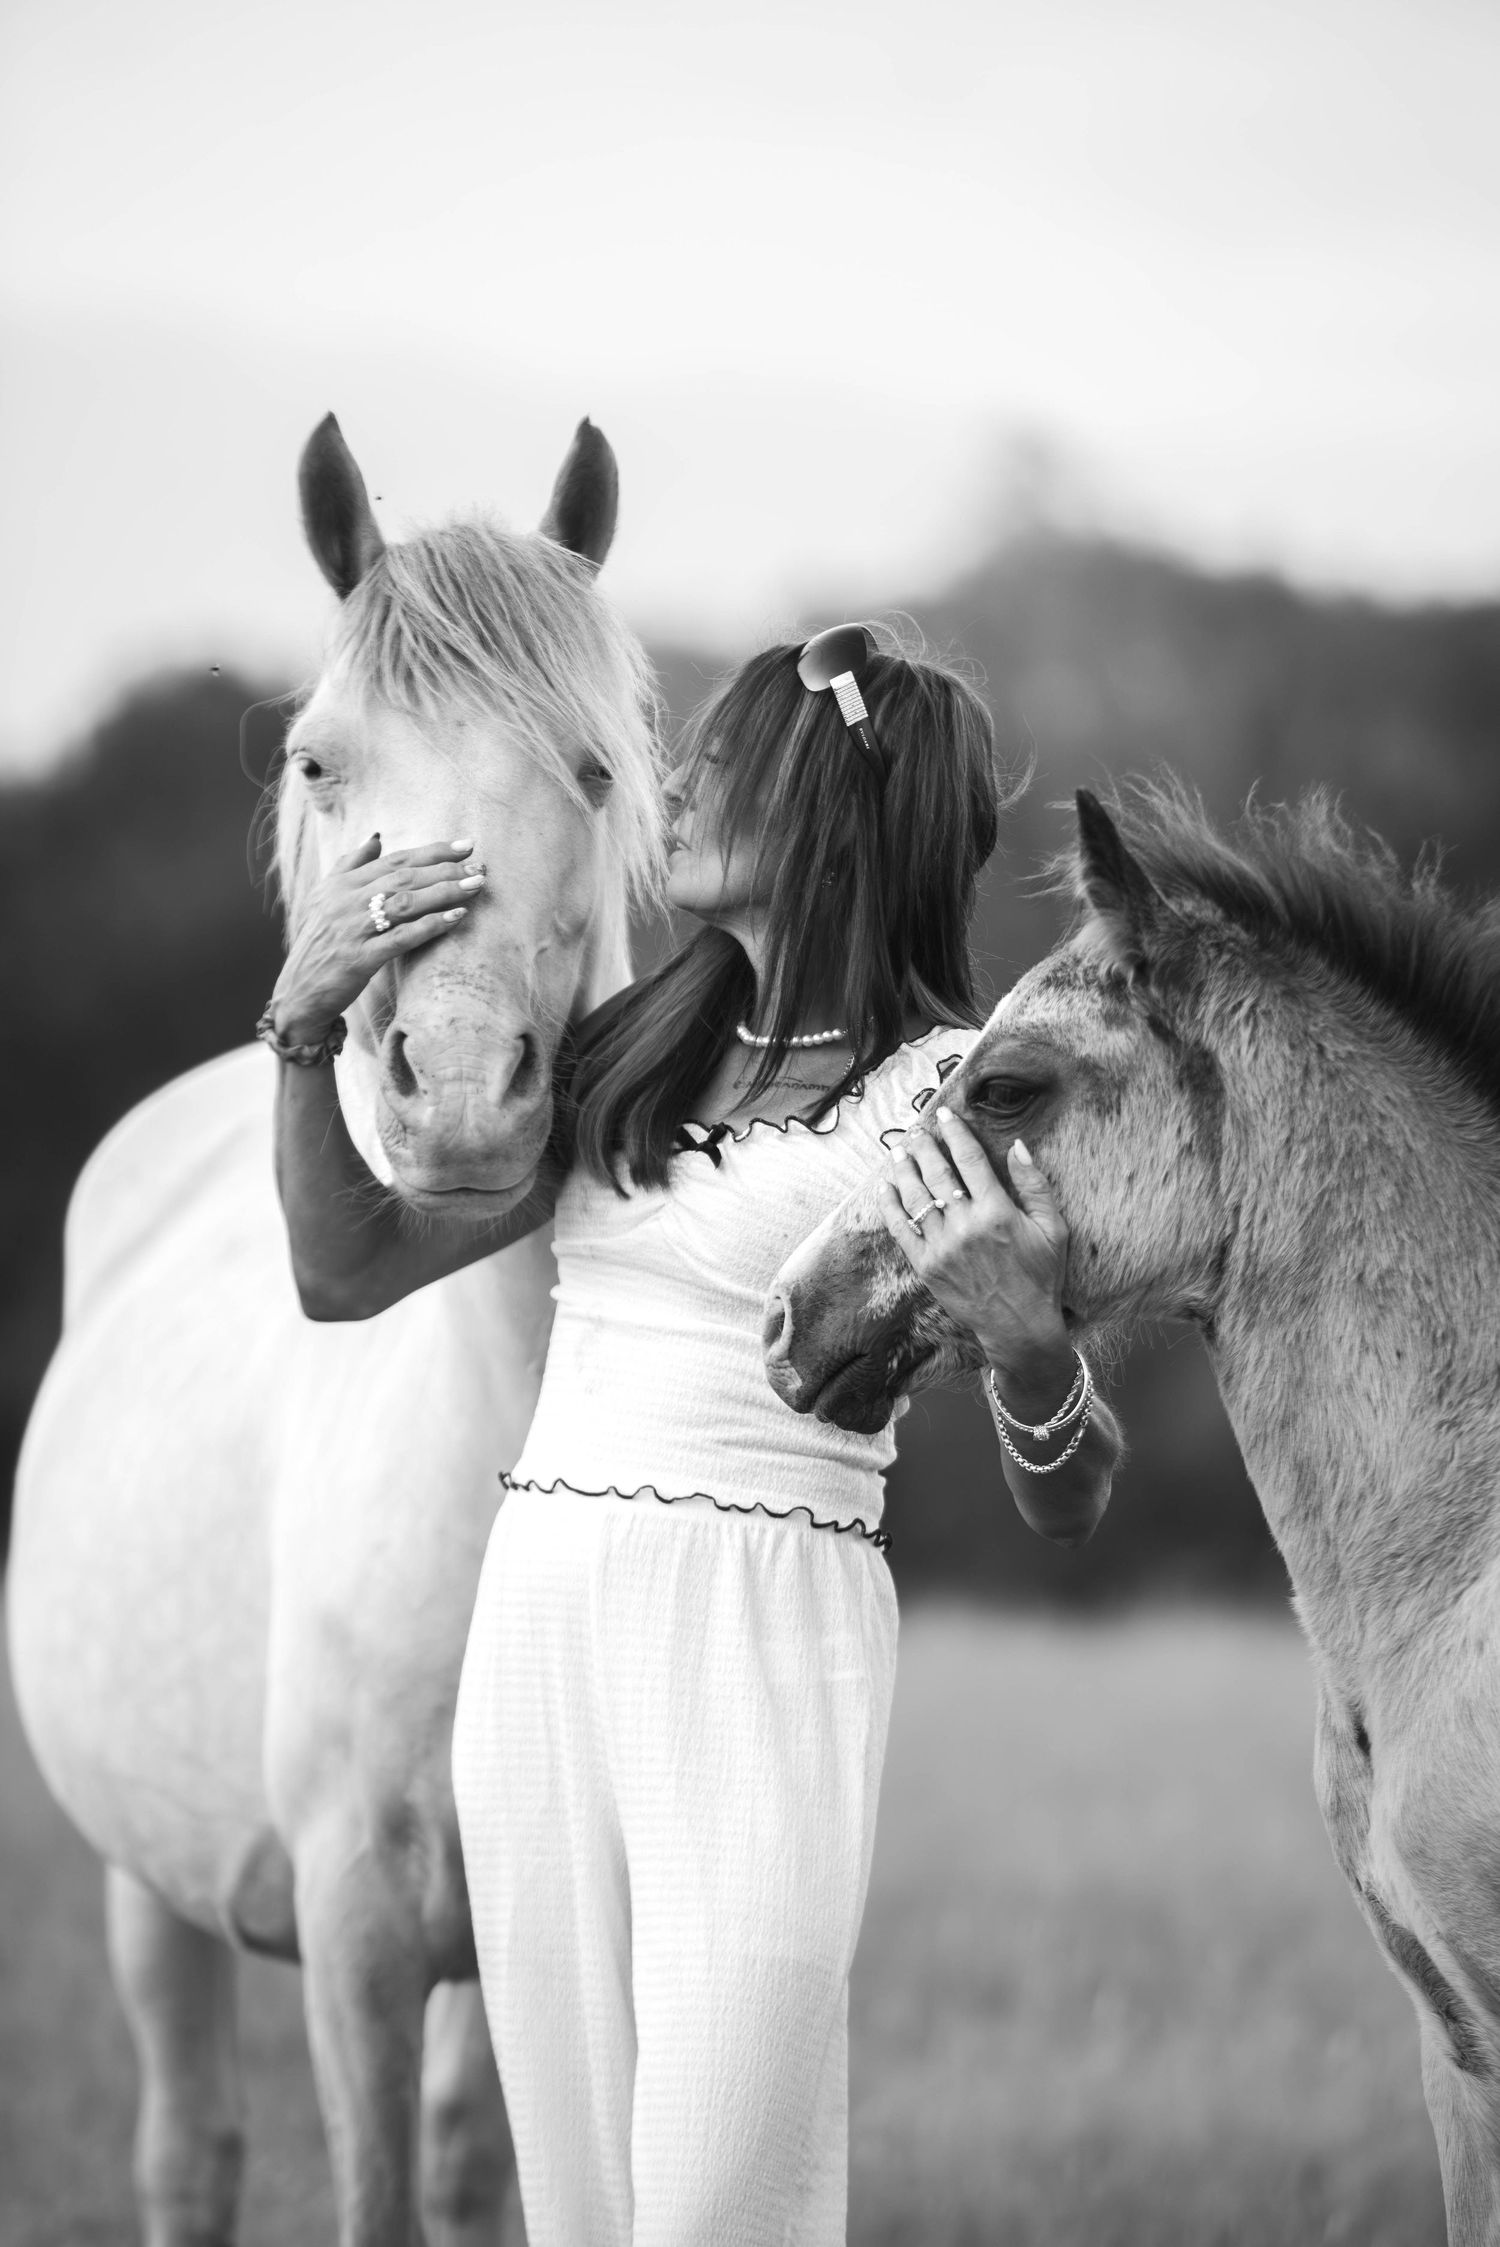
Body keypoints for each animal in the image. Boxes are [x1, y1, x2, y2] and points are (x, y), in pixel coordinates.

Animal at [8, 412, 664, 2246]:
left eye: (594, 768)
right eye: (318, 763)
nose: (459, 1096)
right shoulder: (355, 1931)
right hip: (149, 1888)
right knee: (192, 2148)